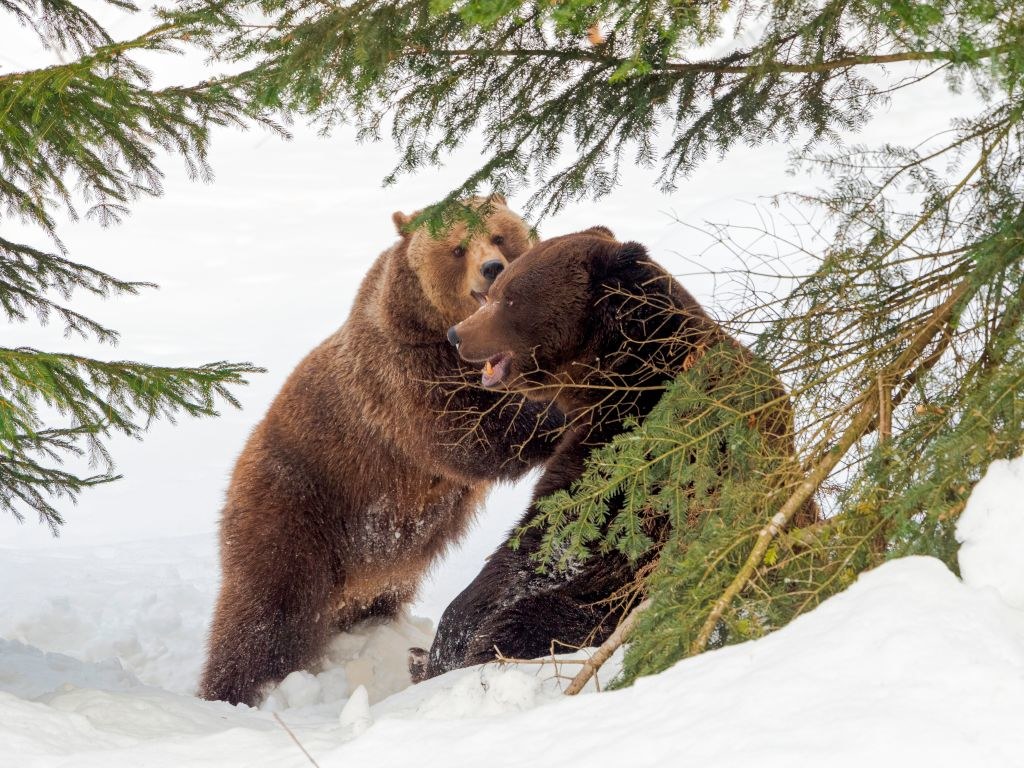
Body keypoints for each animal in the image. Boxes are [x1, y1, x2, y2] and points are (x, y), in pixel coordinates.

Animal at [197, 198, 569, 708]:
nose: (493, 268)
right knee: (265, 610)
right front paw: (556, 414)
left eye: (499, 236)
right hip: (297, 500)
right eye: (458, 248)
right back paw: (234, 690)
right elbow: (471, 439)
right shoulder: (404, 379)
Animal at [411, 227, 811, 679]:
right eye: (493, 292)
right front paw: (438, 648)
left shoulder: (638, 452)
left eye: (510, 298)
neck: (618, 377)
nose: (457, 334)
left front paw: (451, 643)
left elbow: (551, 544)